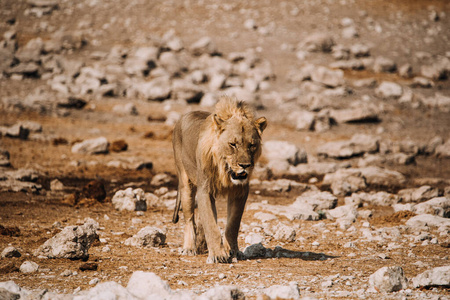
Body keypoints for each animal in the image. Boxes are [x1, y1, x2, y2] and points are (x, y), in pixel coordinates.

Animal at [171, 96, 266, 262]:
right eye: (233, 144)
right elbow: (210, 223)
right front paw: (217, 255)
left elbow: (233, 225)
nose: (245, 165)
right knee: (189, 218)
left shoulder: (240, 191)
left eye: (252, 145)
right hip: (185, 182)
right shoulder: (204, 189)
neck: (225, 171)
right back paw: (189, 248)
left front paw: (233, 251)